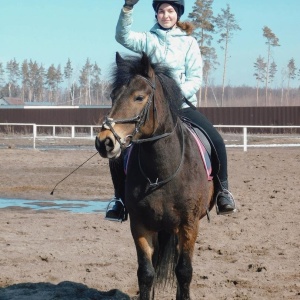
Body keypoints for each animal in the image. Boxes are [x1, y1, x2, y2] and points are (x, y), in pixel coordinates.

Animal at [95, 52, 214, 298]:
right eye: (112, 96)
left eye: (139, 97)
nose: (104, 142)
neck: (162, 172)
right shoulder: (140, 224)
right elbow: (146, 273)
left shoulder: (189, 225)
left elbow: (184, 272)